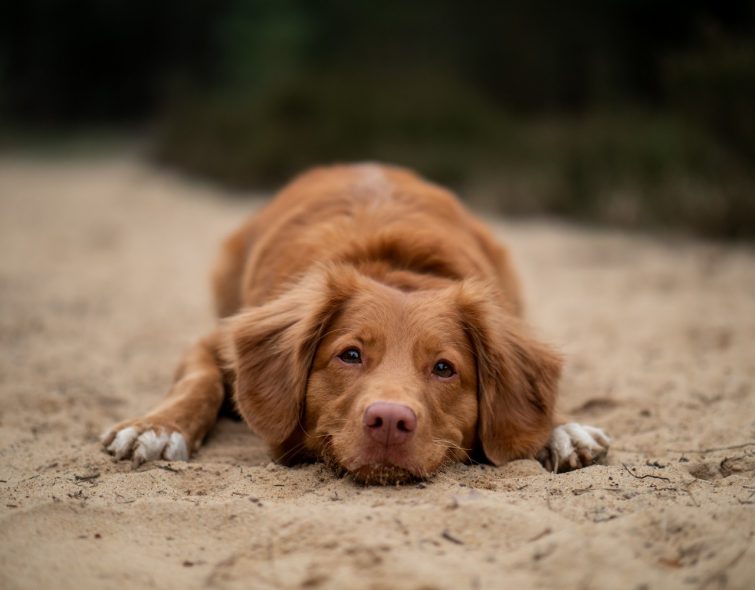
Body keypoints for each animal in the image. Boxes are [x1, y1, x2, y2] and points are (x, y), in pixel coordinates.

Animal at [102, 164, 608, 484]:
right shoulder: (215, 340)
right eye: (350, 355)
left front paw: (561, 427)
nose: (389, 421)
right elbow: (199, 382)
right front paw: (157, 426)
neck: (393, 268)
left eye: (444, 368)